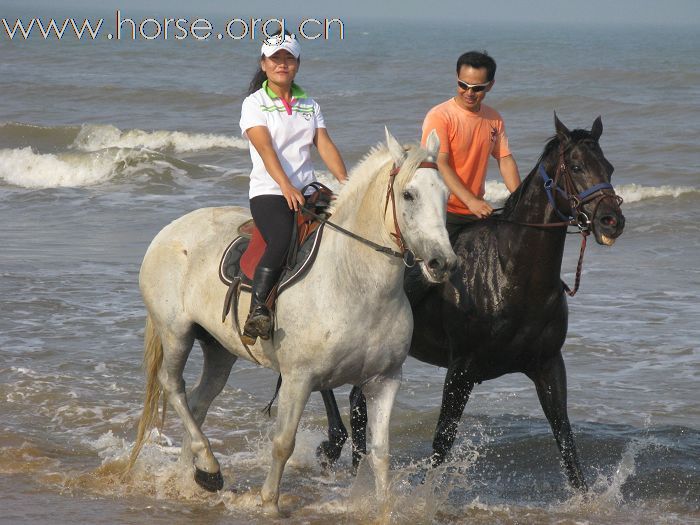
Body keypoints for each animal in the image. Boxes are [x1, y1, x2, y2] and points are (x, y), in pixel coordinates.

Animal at [127, 129, 454, 512]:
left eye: (446, 195)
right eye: (408, 194)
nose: (442, 263)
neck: (354, 280)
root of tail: (168, 231)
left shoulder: (385, 380)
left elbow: (380, 453)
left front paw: (385, 510)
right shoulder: (298, 379)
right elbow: (284, 443)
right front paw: (270, 503)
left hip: (219, 349)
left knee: (198, 401)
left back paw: (196, 476)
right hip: (176, 332)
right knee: (174, 386)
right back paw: (206, 465)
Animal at [318, 113, 624, 488]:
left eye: (608, 167)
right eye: (577, 166)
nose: (612, 220)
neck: (513, 275)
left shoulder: (549, 366)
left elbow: (566, 443)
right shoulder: (461, 371)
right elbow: (442, 443)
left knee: (358, 402)